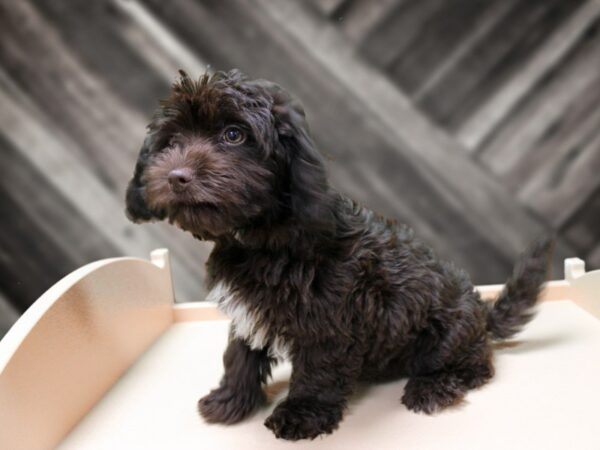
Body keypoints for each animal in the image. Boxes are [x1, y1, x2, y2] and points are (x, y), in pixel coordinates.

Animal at [125, 70, 552, 440]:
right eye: (172, 141)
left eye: (233, 135)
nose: (177, 176)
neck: (262, 235)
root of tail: (481, 313)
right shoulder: (249, 313)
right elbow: (239, 355)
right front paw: (230, 402)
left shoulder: (329, 320)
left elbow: (317, 370)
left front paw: (301, 415)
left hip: (446, 333)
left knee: (476, 366)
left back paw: (432, 388)